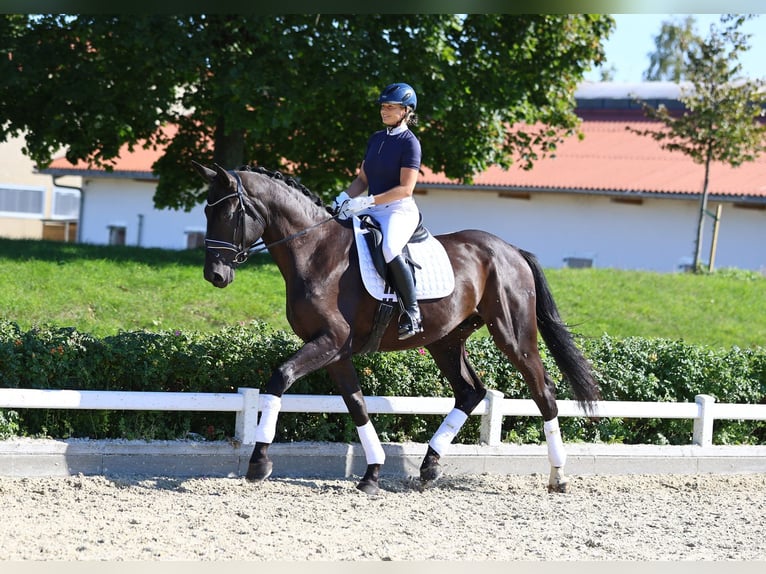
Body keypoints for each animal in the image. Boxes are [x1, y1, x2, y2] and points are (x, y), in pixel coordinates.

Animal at [192, 161, 600, 496]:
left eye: (229, 211)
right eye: (206, 211)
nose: (215, 275)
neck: (315, 250)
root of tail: (511, 250)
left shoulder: (330, 341)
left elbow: (280, 377)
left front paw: (259, 462)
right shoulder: (334, 351)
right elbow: (356, 405)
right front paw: (371, 474)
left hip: (513, 335)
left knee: (543, 391)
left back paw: (558, 476)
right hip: (445, 340)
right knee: (470, 392)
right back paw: (430, 467)